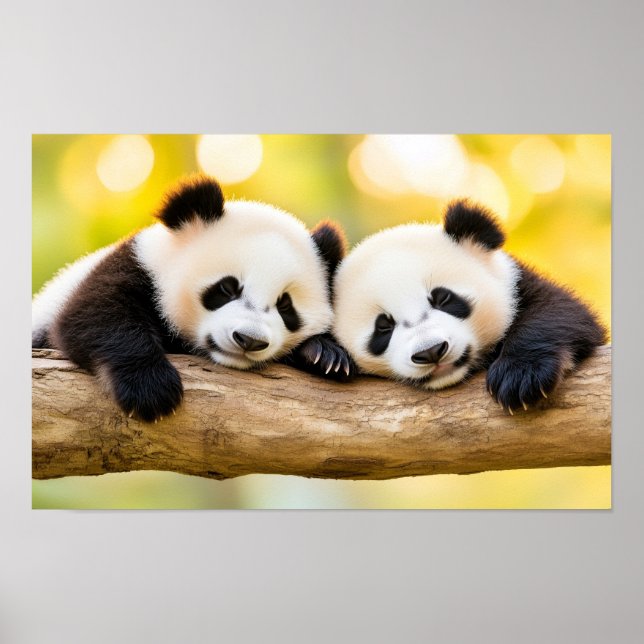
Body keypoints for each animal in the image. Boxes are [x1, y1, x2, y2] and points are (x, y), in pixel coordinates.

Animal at [32, 175, 351, 422]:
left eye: (285, 305)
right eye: (227, 288)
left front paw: (325, 355)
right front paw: (151, 389)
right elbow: (93, 316)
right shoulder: (136, 266)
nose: (249, 340)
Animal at [333, 200, 606, 412]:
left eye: (443, 299)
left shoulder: (517, 284)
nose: (431, 351)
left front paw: (520, 377)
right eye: (383, 327)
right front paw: (329, 358)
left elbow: (560, 312)